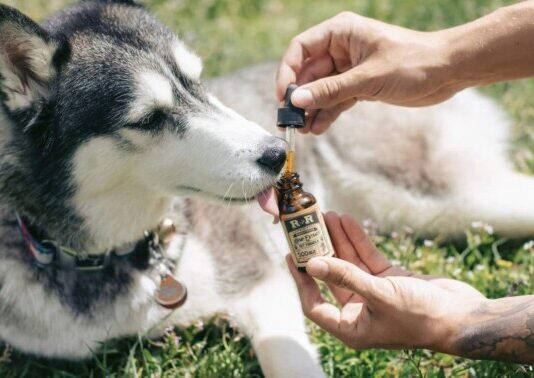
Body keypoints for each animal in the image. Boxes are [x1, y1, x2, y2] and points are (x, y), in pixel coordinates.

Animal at [1, 0, 534, 376]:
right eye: (150, 118)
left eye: (200, 82)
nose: (276, 154)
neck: (121, 255)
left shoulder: (261, 280)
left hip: (438, 195)